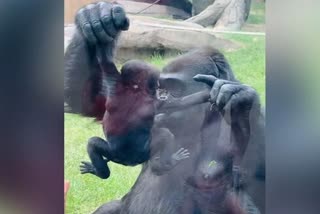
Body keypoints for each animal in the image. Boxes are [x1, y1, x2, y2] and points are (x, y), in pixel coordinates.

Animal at [79, 46, 190, 179]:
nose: (158, 90)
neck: (136, 90)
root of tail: (128, 162)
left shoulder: (115, 84)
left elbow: (105, 62)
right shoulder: (156, 100)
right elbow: (183, 102)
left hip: (125, 153)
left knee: (93, 144)